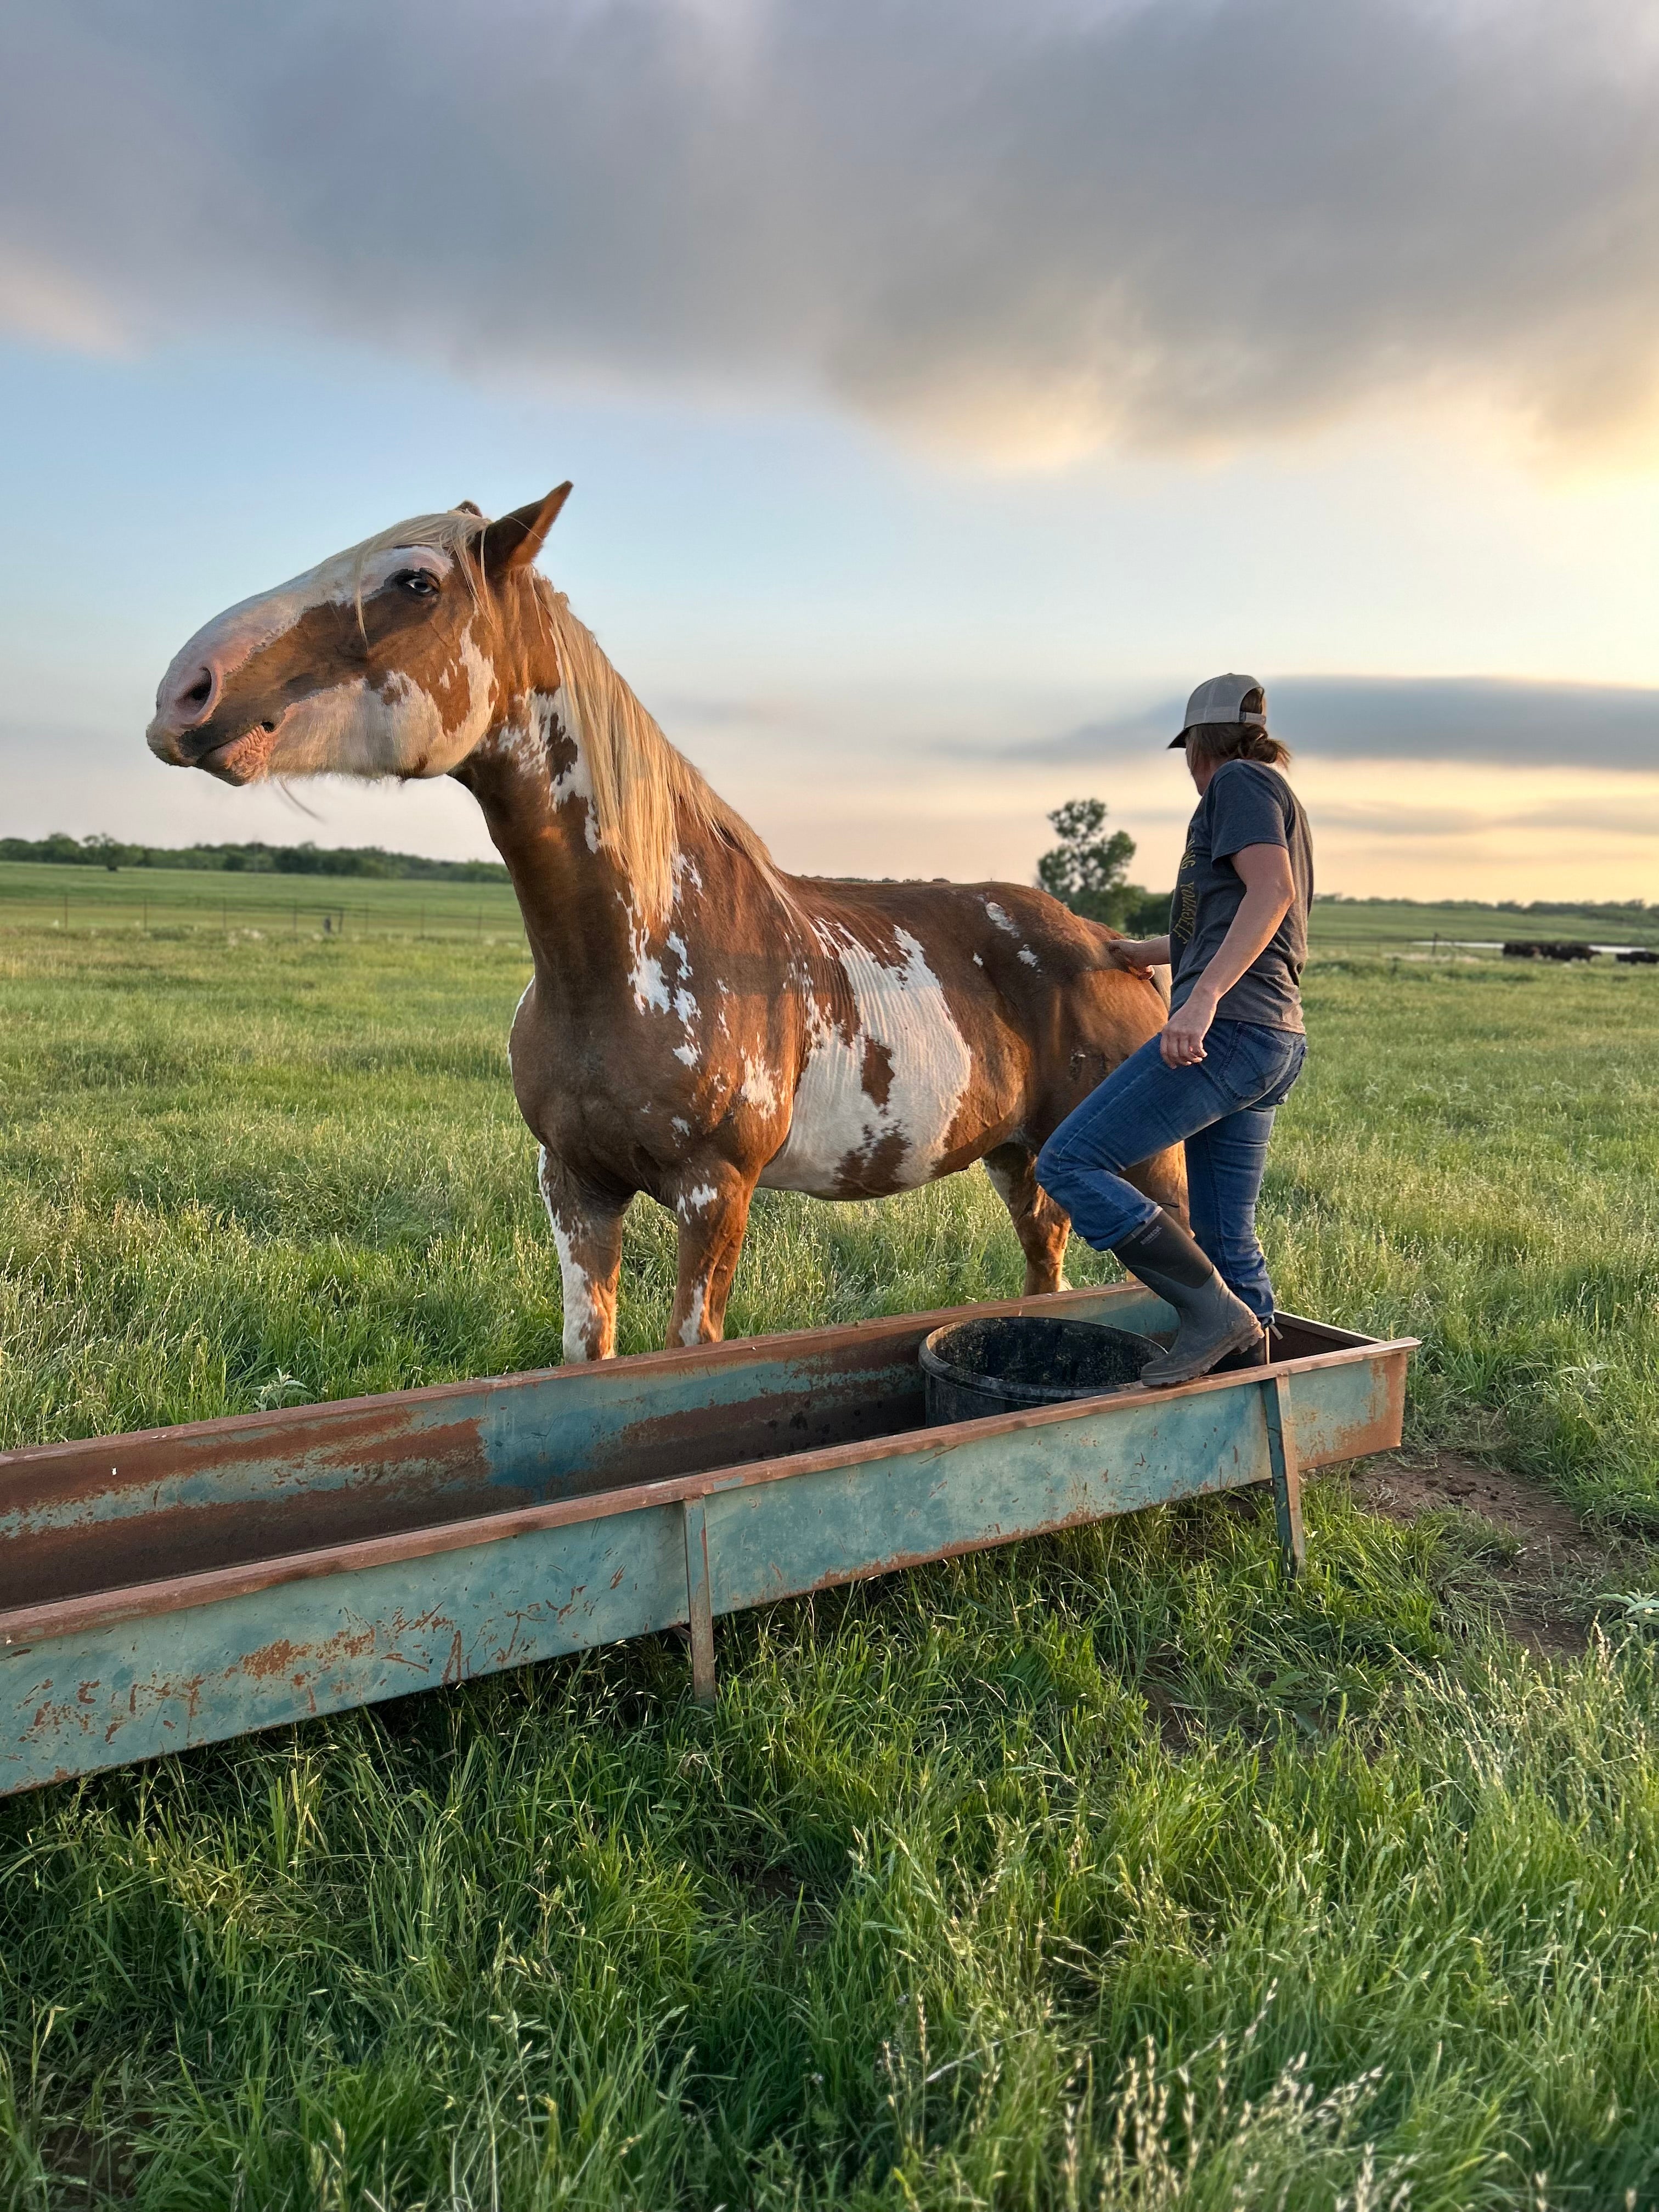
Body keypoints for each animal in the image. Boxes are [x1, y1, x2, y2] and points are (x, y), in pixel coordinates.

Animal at [147, 487, 1185, 1360]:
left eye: (416, 582)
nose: (184, 692)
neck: (632, 959)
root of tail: (1111, 947)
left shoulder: (713, 1194)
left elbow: (691, 1344)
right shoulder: (574, 1187)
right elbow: (588, 1352)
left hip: (1142, 1161)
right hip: (1023, 1161)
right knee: (1045, 1268)